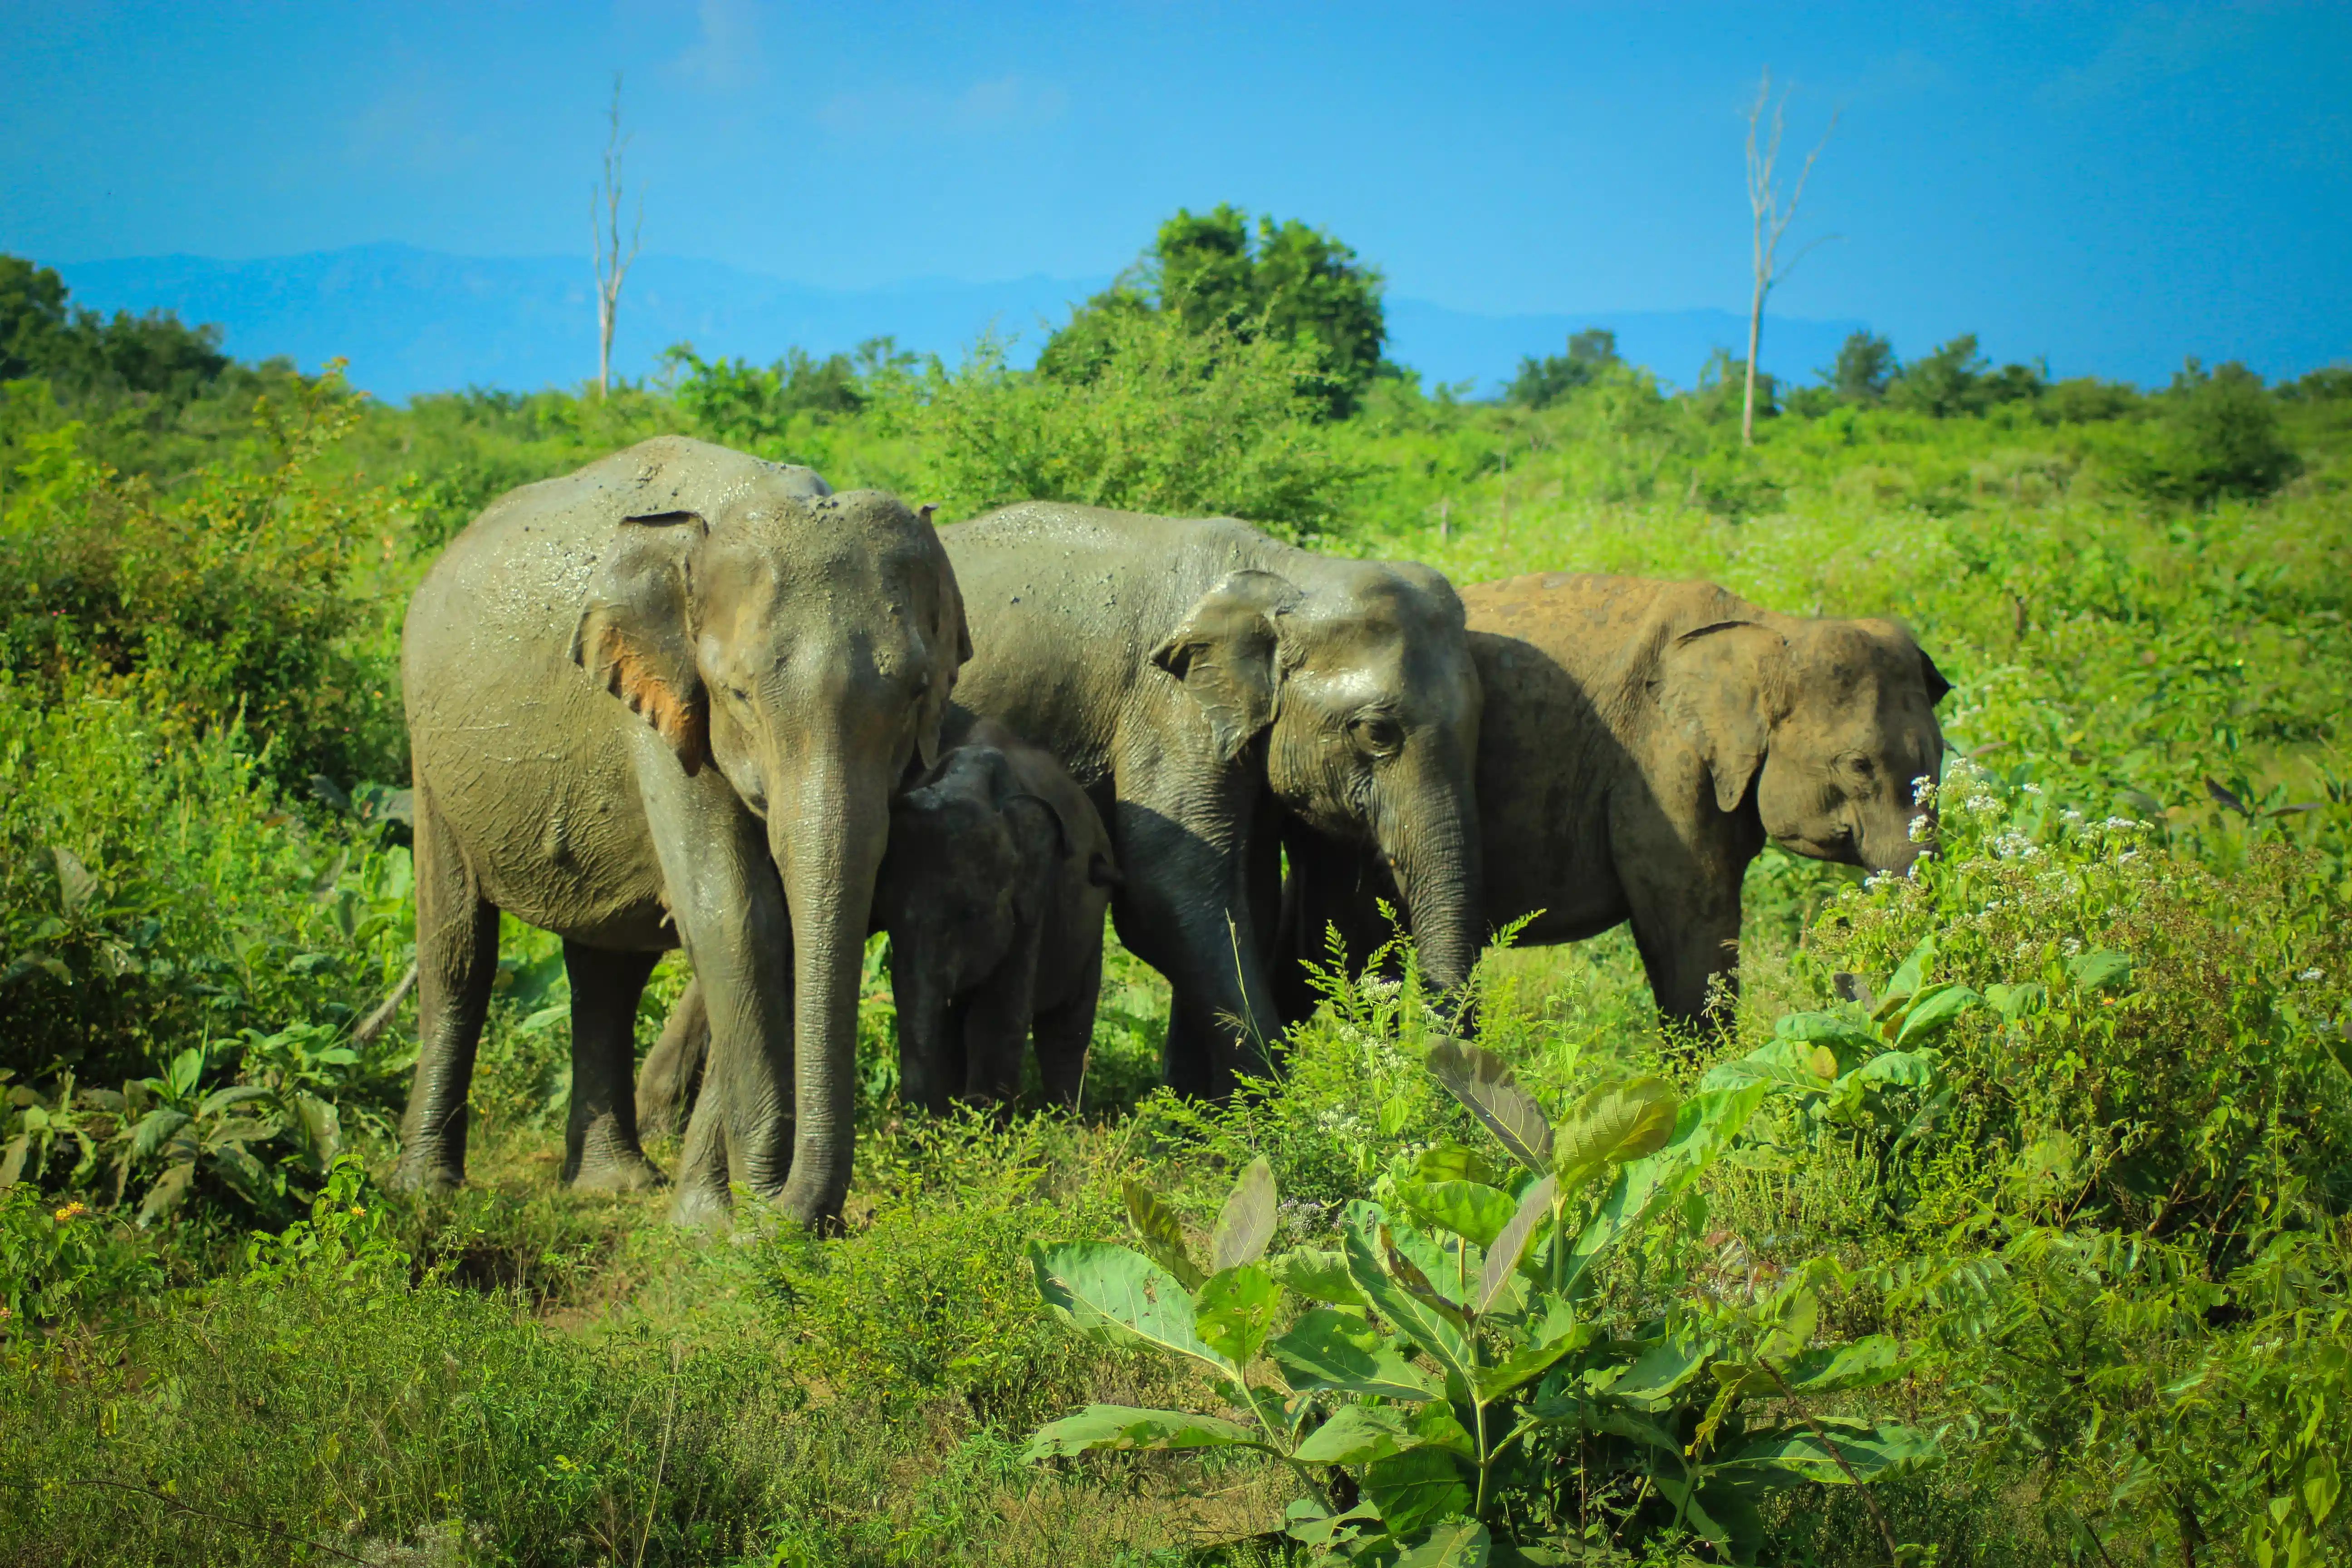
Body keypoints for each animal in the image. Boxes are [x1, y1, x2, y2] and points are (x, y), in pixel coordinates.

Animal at [392, 436, 968, 1227]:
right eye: (738, 695)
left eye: (917, 692)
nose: (787, 1216)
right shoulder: (658, 710)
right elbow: (736, 917)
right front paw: (736, 1221)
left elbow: (775, 929)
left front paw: (712, 1223)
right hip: (430, 753)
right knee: (458, 950)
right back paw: (427, 1191)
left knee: (606, 972)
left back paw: (614, 1185)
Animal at [635, 718, 1119, 1128]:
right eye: (888, 918)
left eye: (972, 915)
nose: (909, 1129)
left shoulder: (1037, 893)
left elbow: (997, 1016)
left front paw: (983, 1136)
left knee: (1067, 1027)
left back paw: (1068, 1123)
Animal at [937, 504, 1484, 1098]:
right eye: (1377, 733)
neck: (1289, 573)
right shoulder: (1167, 702)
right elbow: (1167, 884)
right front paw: (1277, 1106)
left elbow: (1249, 894)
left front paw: (1207, 1106)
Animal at [1275, 572, 1950, 1037]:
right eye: (1859, 767)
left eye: (1944, 755)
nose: (1844, 973)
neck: (1768, 628)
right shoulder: (1659, 768)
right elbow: (1689, 933)